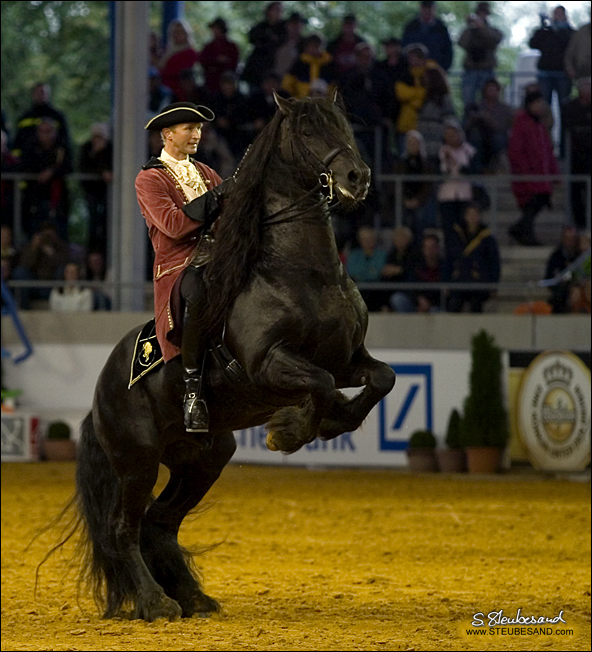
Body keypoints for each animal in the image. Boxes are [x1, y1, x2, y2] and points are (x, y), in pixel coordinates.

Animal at [74, 94, 398, 624]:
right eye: (306, 132)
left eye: (344, 126)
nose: (357, 178)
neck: (302, 273)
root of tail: (100, 395)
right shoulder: (267, 364)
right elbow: (320, 383)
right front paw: (289, 431)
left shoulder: (349, 357)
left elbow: (380, 379)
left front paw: (331, 422)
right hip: (137, 462)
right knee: (124, 528)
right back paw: (156, 602)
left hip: (205, 459)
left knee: (160, 523)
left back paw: (193, 598)